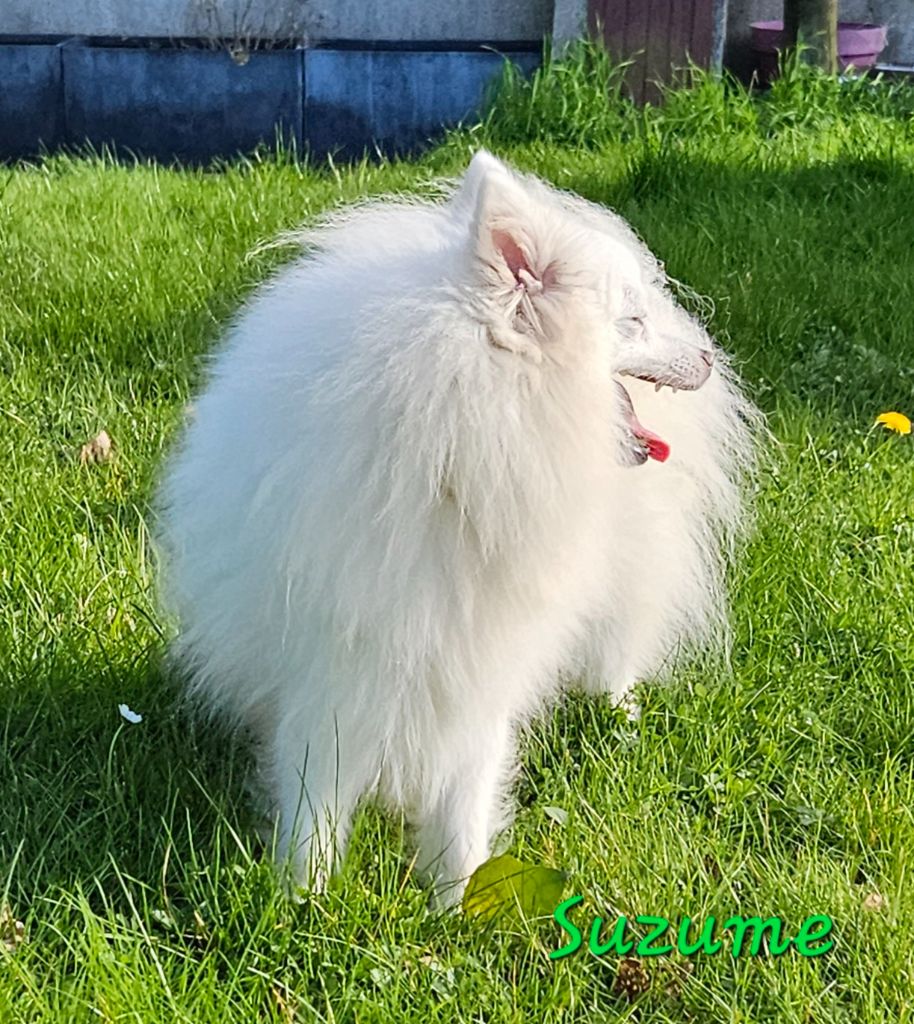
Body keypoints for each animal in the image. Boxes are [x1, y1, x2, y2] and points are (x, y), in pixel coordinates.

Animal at [156, 151, 757, 904]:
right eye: (633, 321)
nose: (709, 356)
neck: (459, 453)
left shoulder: (484, 666)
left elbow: (466, 795)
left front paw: (457, 902)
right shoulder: (330, 669)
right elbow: (315, 797)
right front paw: (305, 899)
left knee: (617, 656)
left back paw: (617, 724)